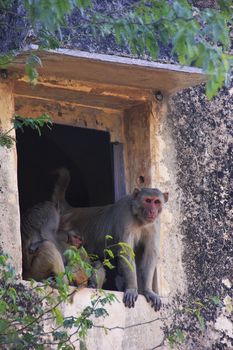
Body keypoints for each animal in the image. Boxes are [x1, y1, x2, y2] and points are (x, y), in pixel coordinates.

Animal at [59, 183, 168, 312]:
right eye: (148, 200)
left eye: (157, 202)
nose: (152, 211)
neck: (139, 218)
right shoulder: (125, 216)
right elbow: (126, 253)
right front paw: (132, 289)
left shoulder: (154, 223)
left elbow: (150, 255)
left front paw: (149, 291)